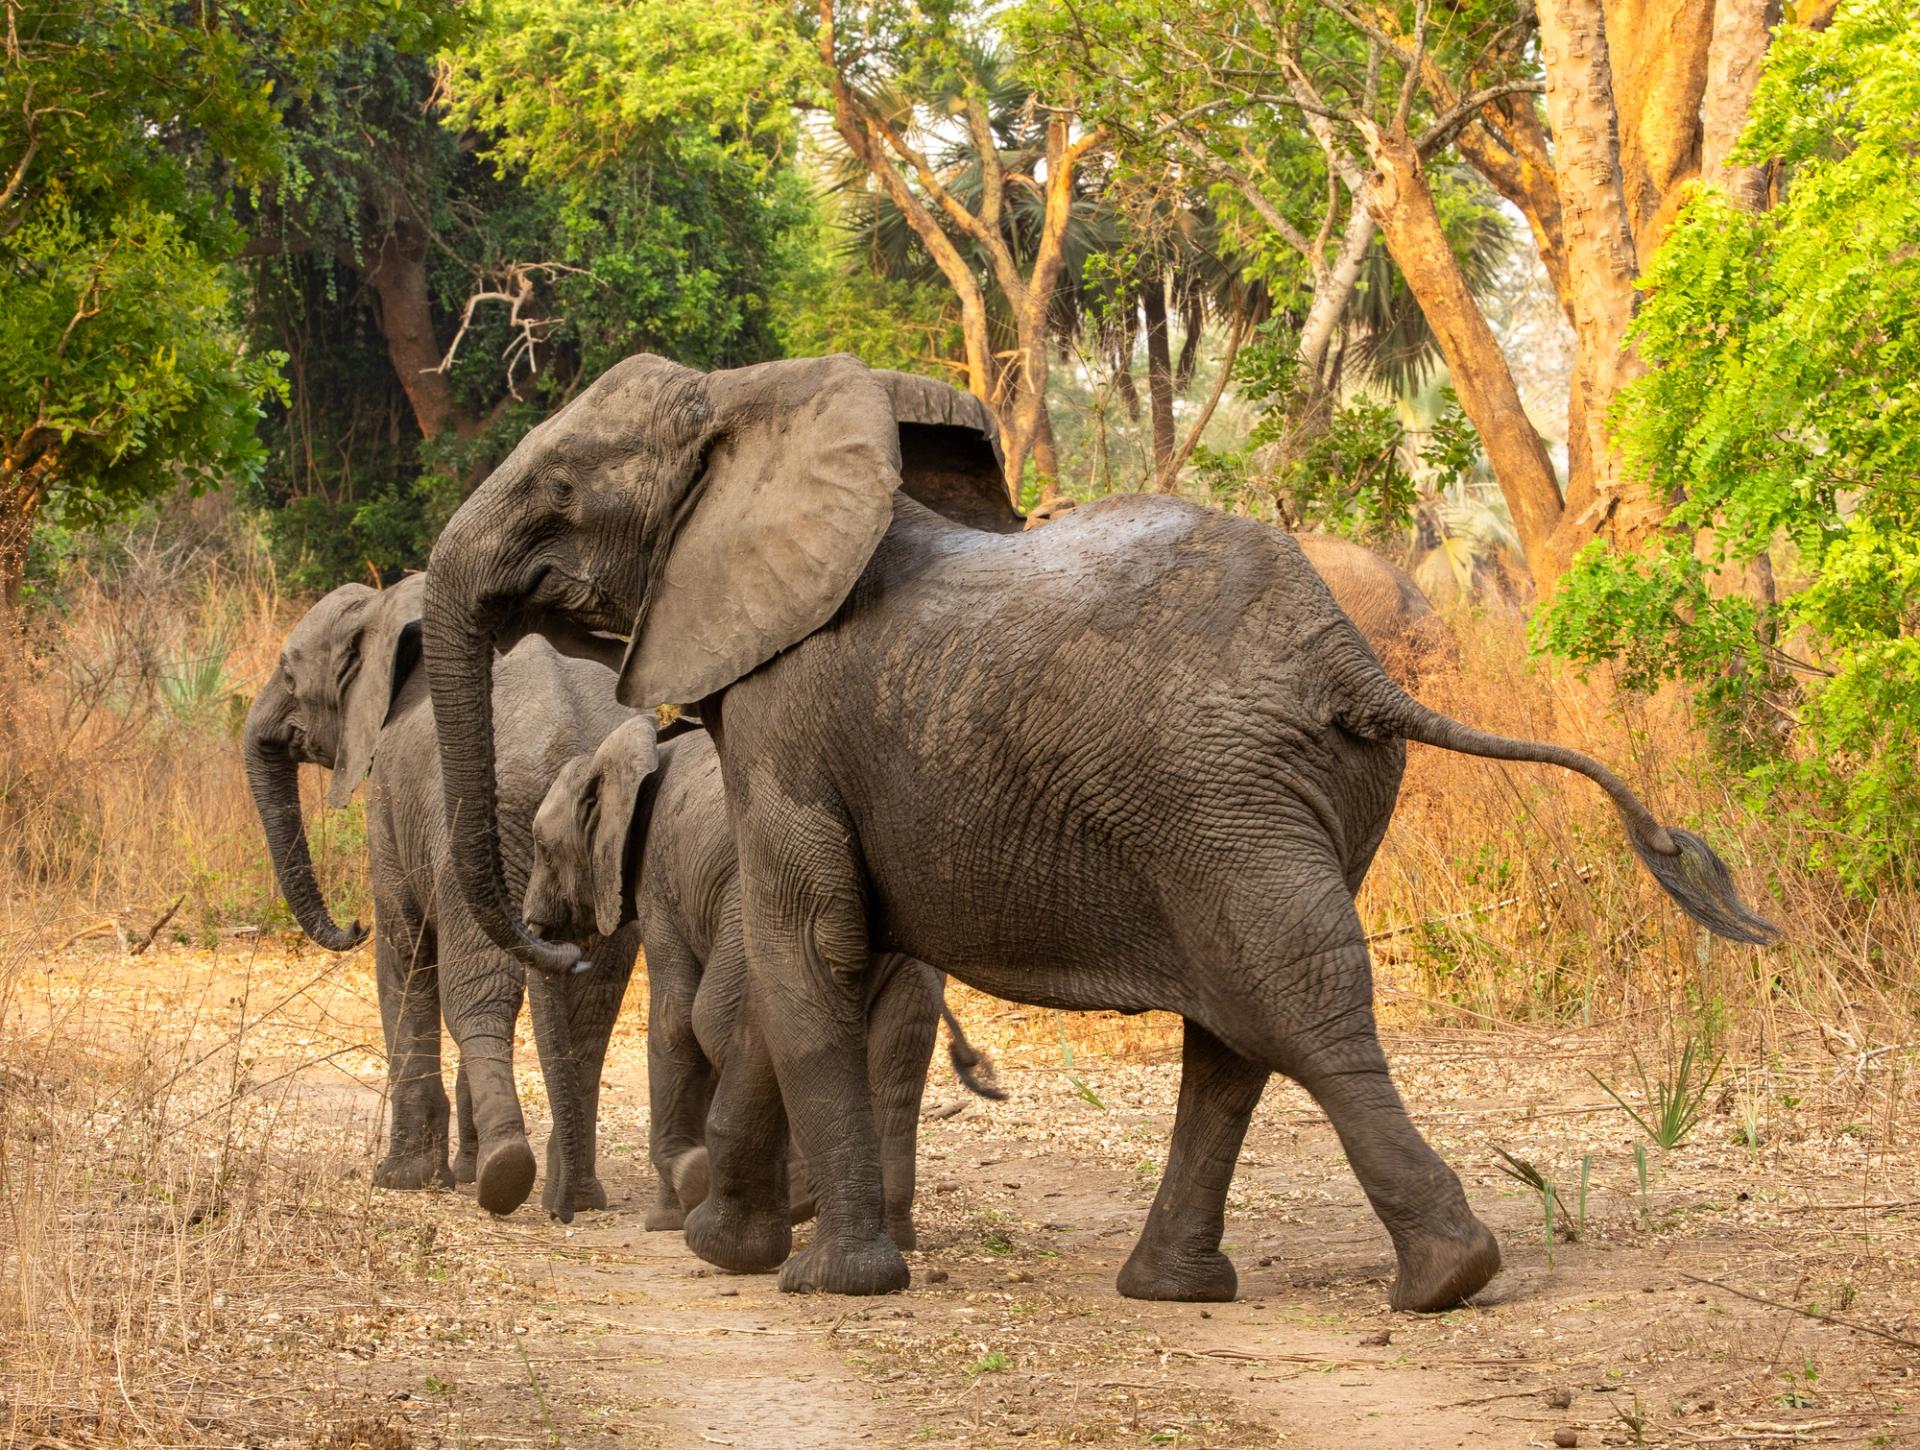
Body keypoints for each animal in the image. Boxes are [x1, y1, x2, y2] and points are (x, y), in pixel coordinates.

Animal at [243, 572, 639, 1220]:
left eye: (289, 672)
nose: (351, 926)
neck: (389, 605)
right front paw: (454, 1169)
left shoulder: (390, 802)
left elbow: (403, 952)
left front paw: (401, 1179)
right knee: (592, 1008)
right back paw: (574, 1194)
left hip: (478, 837)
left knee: (478, 993)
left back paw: (505, 1177)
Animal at [418, 353, 1777, 1310]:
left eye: (557, 493)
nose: (556, 936)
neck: (757, 403)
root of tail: (1353, 664)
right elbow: (797, 966)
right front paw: (727, 1247)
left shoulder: (786, 713)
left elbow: (803, 954)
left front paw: (820, 1279)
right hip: (1287, 803)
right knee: (1237, 1029)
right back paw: (1179, 1288)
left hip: (1221, 795)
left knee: (1292, 1004)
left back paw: (1446, 1280)